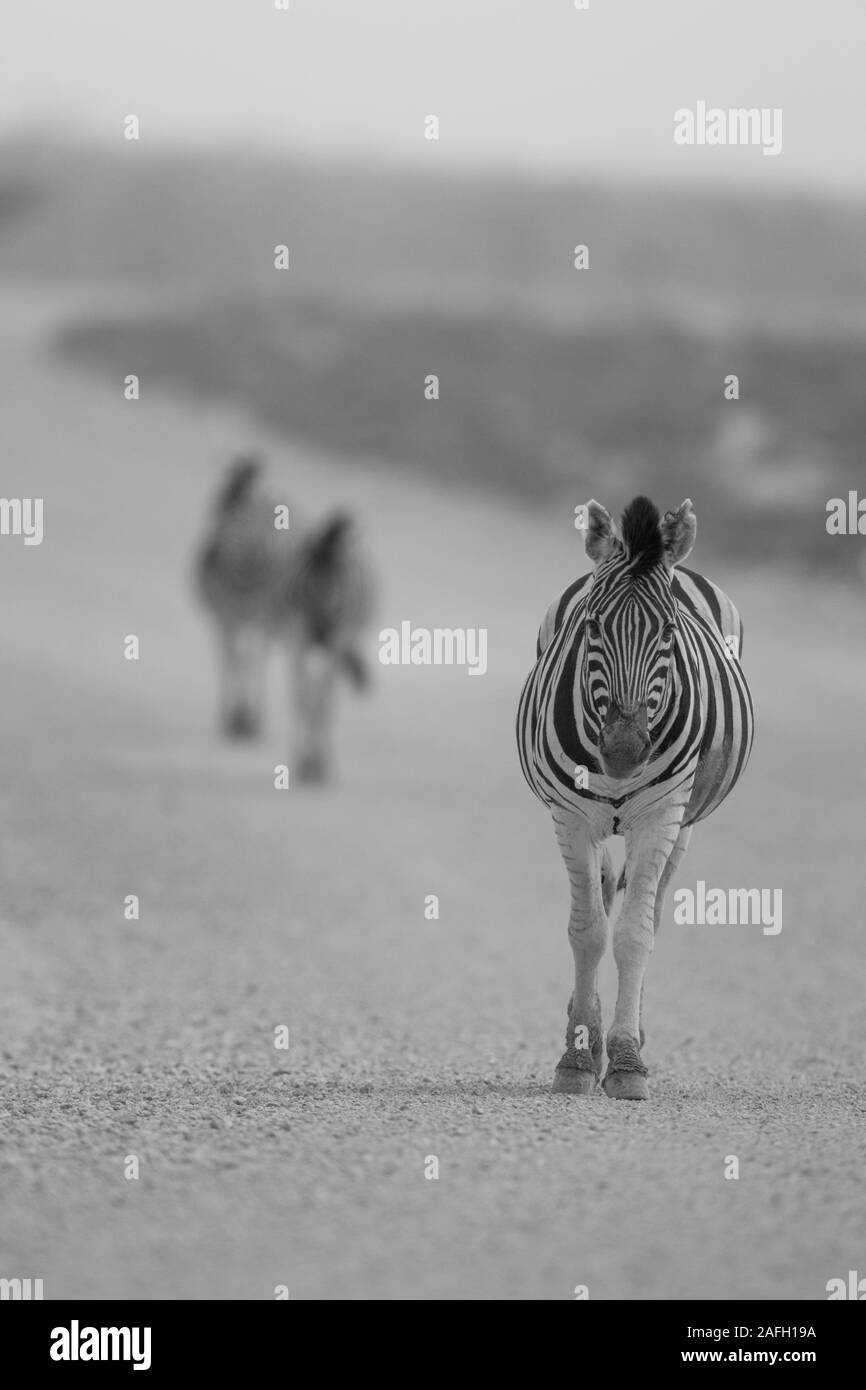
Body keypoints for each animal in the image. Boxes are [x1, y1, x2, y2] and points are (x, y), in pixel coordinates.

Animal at [194, 455, 375, 783]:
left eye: (220, 505)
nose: (208, 558)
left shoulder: (276, 626)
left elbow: (315, 699)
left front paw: (315, 765)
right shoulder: (232, 620)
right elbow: (243, 665)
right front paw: (238, 721)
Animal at [517, 497, 756, 1095]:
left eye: (669, 631)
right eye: (592, 626)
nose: (624, 751)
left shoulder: (662, 816)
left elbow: (634, 935)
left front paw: (626, 1061)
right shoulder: (572, 817)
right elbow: (587, 932)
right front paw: (578, 1058)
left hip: (685, 824)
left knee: (652, 911)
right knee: (602, 892)